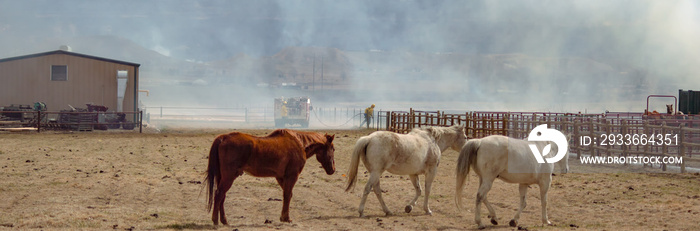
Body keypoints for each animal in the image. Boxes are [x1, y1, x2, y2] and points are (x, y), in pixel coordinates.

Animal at [205, 129, 336, 225]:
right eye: (333, 149)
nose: (333, 169)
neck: (299, 144)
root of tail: (223, 138)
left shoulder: (281, 177)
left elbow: (287, 195)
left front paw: (283, 217)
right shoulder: (291, 176)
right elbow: (287, 195)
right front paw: (286, 218)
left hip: (224, 177)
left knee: (222, 196)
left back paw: (224, 221)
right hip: (229, 177)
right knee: (219, 194)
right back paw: (215, 221)